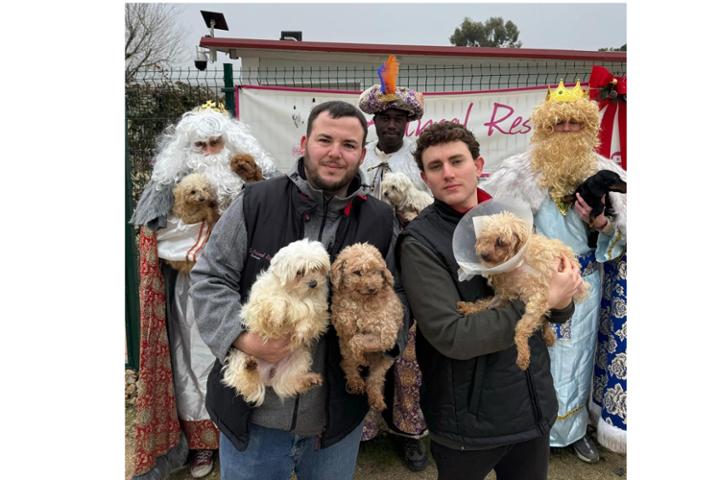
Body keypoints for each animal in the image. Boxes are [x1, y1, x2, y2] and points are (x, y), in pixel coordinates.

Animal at [222, 239, 331, 405]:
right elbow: (277, 302)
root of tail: (266, 376)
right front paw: (278, 317)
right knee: (245, 380)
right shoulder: (259, 306)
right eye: (299, 272)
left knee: (287, 382)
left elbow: (309, 318)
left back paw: (309, 380)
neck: (295, 294)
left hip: (298, 359)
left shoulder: (318, 310)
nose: (314, 283)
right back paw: (249, 366)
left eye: (317, 268)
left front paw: (301, 331)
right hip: (240, 355)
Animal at [330, 243, 404, 411]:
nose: (372, 288)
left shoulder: (387, 334)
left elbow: (357, 340)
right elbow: (350, 337)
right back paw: (356, 382)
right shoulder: (343, 328)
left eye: (376, 271)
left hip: (385, 361)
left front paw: (362, 357)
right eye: (357, 272)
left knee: (375, 380)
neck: (361, 302)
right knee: (347, 364)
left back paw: (377, 400)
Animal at [456, 211, 588, 370]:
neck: (518, 262)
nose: (483, 255)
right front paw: (469, 307)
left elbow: (521, 328)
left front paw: (523, 355)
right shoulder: (503, 296)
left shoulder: (539, 298)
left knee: (542, 318)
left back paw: (548, 336)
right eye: (483, 238)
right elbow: (484, 304)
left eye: (501, 241)